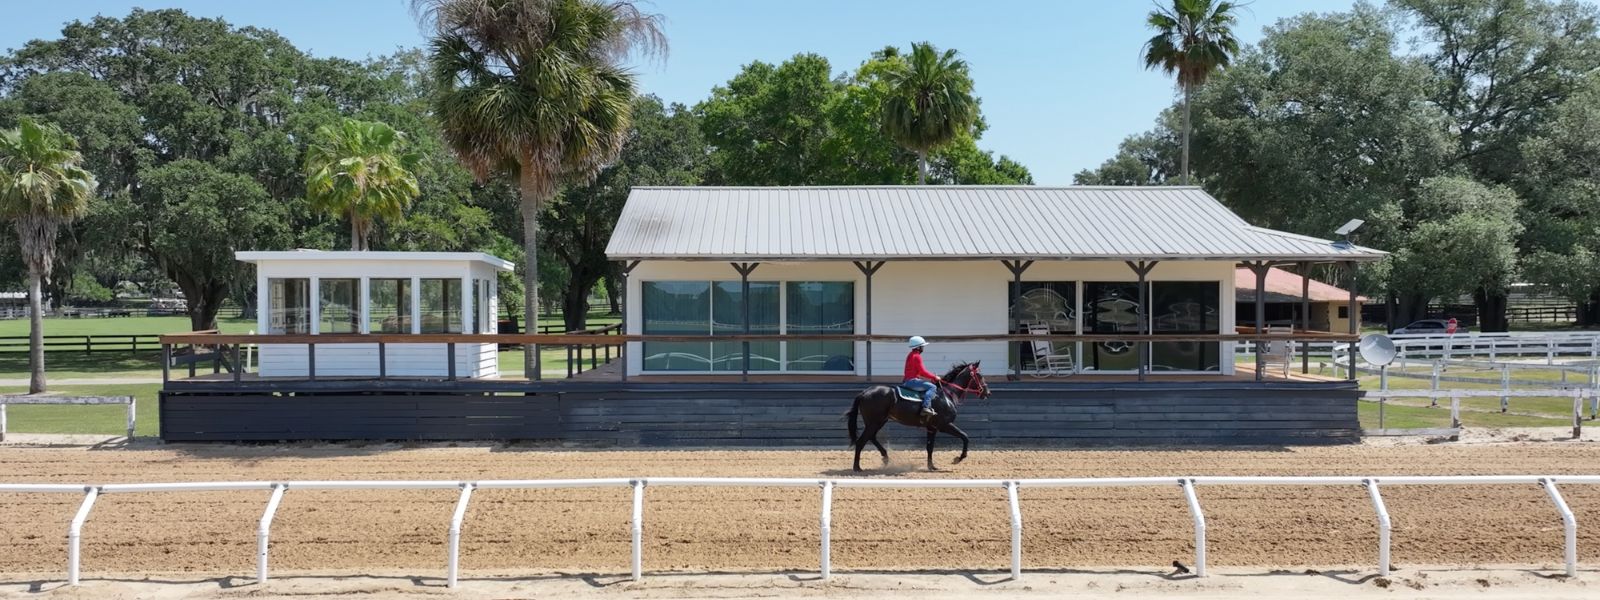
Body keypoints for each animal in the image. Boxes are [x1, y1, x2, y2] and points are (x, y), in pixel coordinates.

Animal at [851, 361, 985, 473]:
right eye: (980, 376)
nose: (987, 392)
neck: (947, 395)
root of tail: (864, 392)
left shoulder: (932, 428)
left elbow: (930, 447)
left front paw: (932, 466)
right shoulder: (944, 425)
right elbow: (965, 436)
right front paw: (958, 458)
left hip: (878, 422)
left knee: (871, 437)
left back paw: (885, 457)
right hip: (874, 423)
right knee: (861, 441)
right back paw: (857, 467)